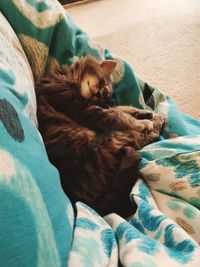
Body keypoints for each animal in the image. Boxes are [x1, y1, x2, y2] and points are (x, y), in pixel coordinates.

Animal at [36, 55, 164, 218]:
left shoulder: (92, 109)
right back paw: (156, 123)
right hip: (107, 142)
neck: (68, 78)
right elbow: (119, 116)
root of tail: (79, 201)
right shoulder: (85, 112)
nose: (97, 94)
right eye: (102, 84)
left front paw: (144, 113)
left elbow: (121, 109)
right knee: (138, 138)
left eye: (100, 98)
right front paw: (142, 122)